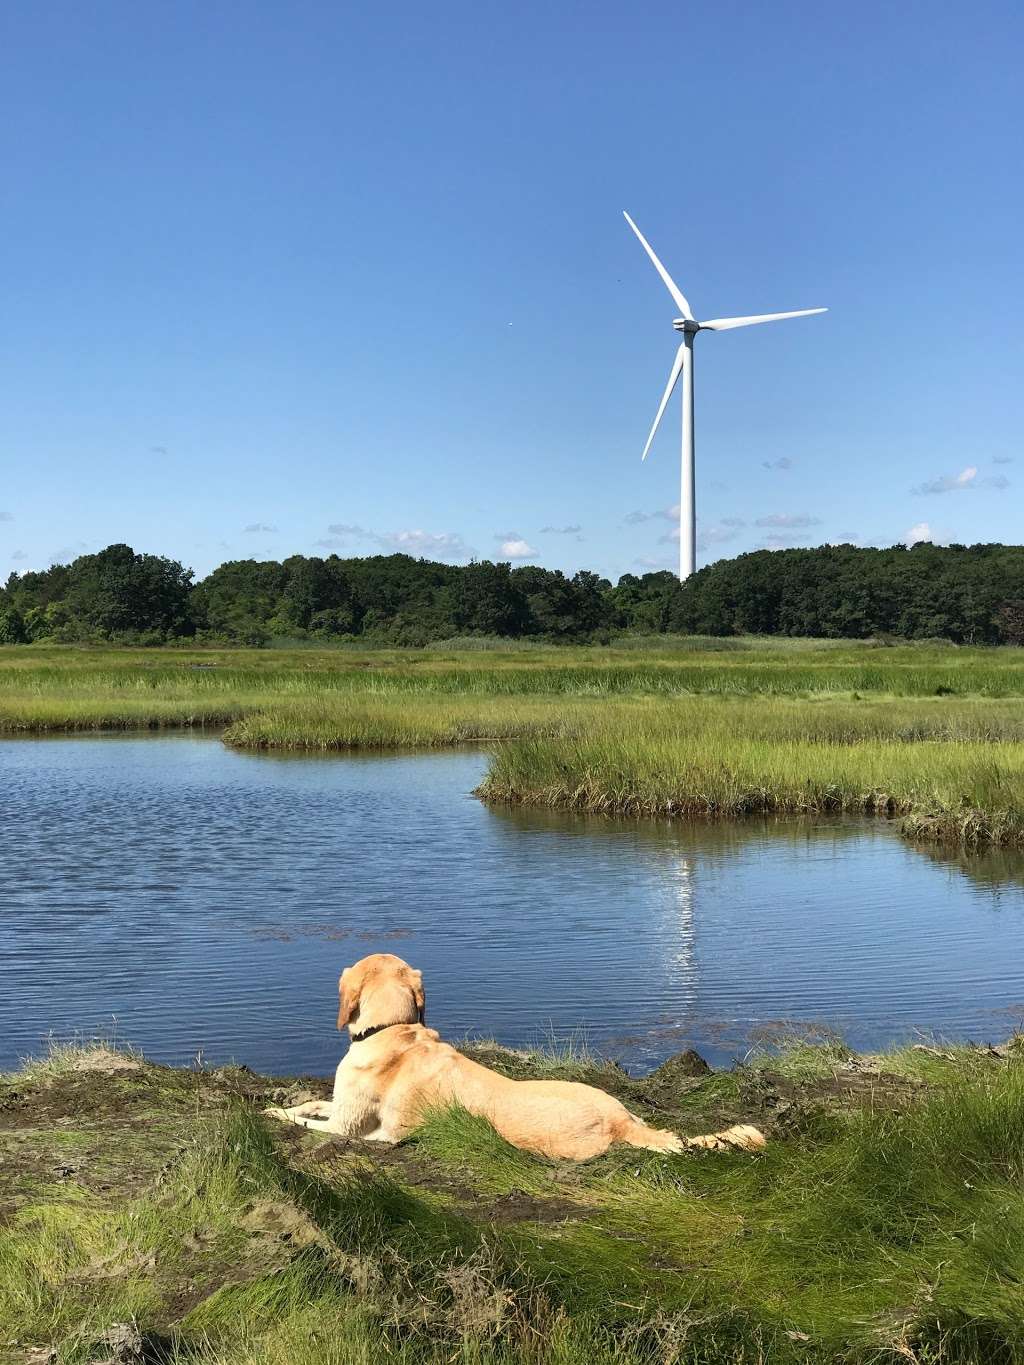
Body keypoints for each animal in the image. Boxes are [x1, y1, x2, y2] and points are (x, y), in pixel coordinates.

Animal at [268, 955, 764, 1157]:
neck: (393, 1029)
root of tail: (620, 1122)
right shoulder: (341, 1108)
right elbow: (313, 1102)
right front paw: (292, 1103)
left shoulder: (346, 1128)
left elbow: (306, 1121)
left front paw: (273, 1112)